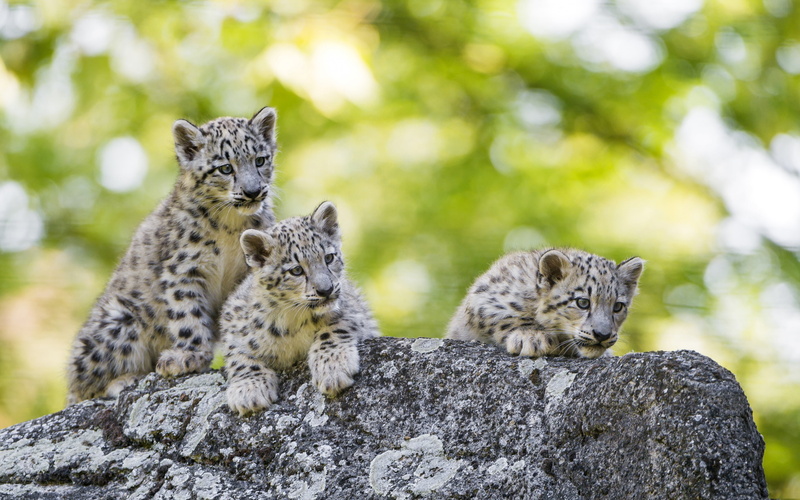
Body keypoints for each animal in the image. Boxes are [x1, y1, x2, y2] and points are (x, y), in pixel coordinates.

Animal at [66, 107, 279, 404]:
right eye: (225, 168)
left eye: (260, 160)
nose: (253, 191)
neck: (231, 226)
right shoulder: (183, 269)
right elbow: (187, 314)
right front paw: (188, 356)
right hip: (118, 321)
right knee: (83, 386)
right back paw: (123, 381)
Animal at [220, 201, 380, 416]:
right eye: (296, 270)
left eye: (329, 258)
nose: (326, 289)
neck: (293, 321)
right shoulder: (233, 325)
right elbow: (239, 356)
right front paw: (249, 391)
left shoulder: (352, 310)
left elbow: (334, 328)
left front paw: (333, 368)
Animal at [446, 248, 644, 359]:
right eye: (582, 302)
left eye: (617, 306)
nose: (602, 334)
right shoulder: (484, 297)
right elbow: (504, 316)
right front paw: (532, 337)